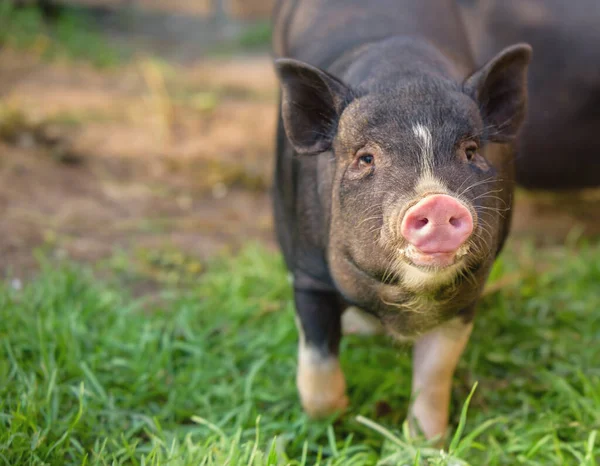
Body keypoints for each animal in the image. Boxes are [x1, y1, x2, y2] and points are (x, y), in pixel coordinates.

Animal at [272, 0, 528, 440]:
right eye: (365, 158)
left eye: (471, 151)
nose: (437, 201)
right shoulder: (307, 272)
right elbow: (317, 359)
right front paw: (331, 423)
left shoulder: (471, 288)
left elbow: (435, 370)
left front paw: (427, 441)